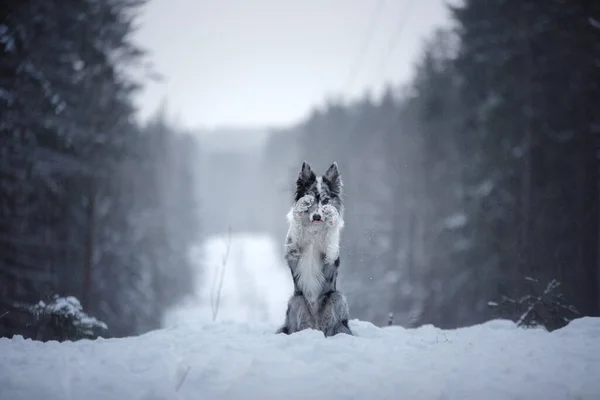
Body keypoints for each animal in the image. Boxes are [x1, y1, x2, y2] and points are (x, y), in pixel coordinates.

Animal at [276, 161, 352, 336]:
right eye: (310, 200)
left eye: (325, 200)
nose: (317, 216)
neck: (314, 229)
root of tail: (315, 327)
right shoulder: (292, 251)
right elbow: (296, 227)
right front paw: (301, 206)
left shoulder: (330, 256)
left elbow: (331, 240)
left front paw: (332, 215)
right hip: (296, 300)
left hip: (337, 297)